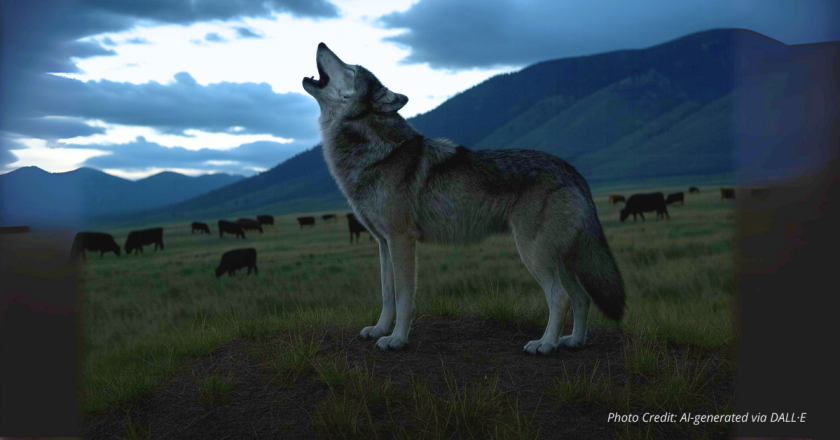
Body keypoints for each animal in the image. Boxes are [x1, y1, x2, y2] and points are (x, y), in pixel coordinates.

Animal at [303, 43, 626, 354]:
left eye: (350, 69)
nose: (321, 43)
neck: (376, 153)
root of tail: (573, 172)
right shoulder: (383, 243)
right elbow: (387, 294)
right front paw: (380, 330)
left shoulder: (402, 240)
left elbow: (404, 295)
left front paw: (396, 339)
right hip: (560, 259)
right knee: (581, 298)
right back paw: (573, 341)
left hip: (534, 254)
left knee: (561, 298)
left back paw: (545, 344)